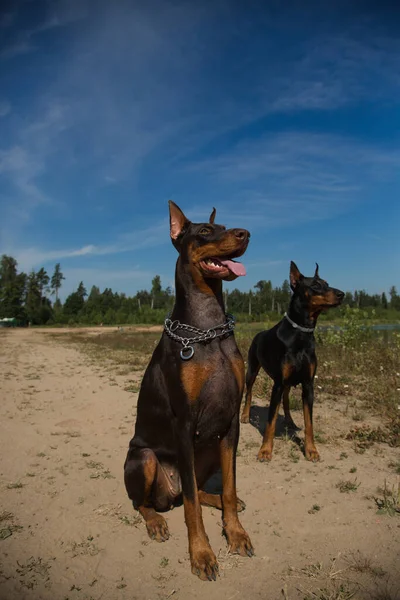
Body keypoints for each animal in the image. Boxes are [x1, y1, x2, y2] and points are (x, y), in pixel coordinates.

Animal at [124, 202, 253, 580]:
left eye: (225, 226)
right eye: (205, 232)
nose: (245, 234)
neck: (207, 328)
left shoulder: (231, 423)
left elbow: (229, 487)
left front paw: (235, 532)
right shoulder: (184, 422)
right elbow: (193, 508)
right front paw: (201, 553)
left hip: (208, 447)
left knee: (196, 489)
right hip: (144, 458)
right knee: (152, 501)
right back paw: (155, 521)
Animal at [241, 260, 344, 462]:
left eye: (327, 283)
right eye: (315, 285)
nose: (342, 294)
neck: (301, 333)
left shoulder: (308, 384)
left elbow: (309, 422)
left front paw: (311, 450)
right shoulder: (278, 384)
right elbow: (271, 421)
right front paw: (265, 450)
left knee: (287, 399)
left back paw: (289, 420)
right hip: (252, 370)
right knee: (249, 392)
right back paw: (245, 415)